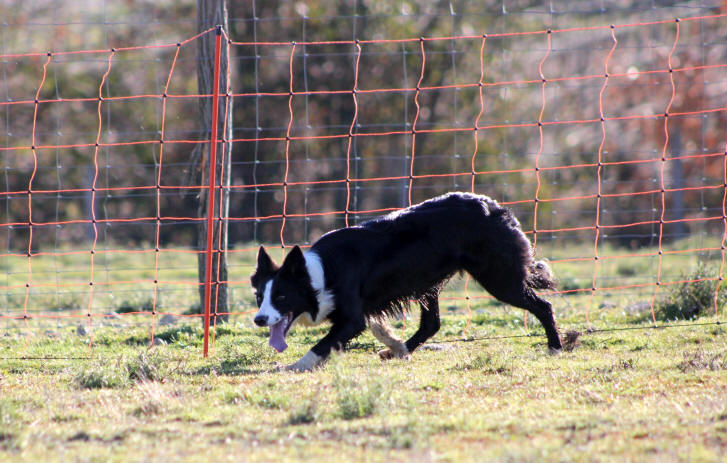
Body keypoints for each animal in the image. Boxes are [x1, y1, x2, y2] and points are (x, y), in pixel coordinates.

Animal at [250, 193, 564, 374]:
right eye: (259, 297)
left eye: (281, 297)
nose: (259, 319)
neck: (320, 275)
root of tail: (496, 208)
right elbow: (372, 329)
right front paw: (393, 343)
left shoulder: (352, 318)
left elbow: (322, 344)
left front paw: (293, 366)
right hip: (429, 282)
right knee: (432, 324)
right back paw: (398, 352)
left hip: (499, 278)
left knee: (544, 306)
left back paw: (555, 347)